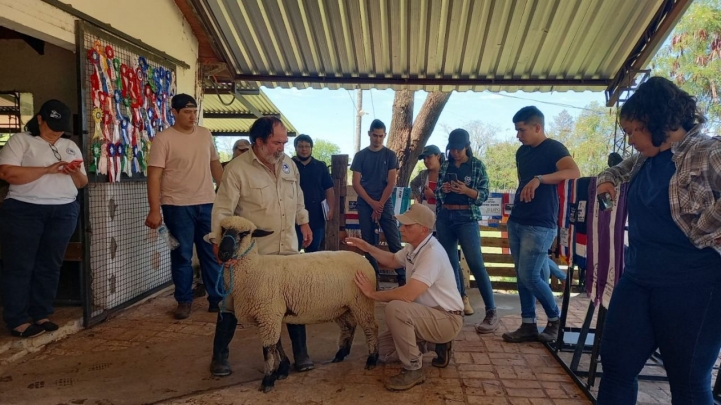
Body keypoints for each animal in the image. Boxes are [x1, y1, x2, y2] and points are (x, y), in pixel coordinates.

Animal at [217, 218, 380, 392]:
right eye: (223, 229)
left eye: (244, 233)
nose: (223, 254)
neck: (255, 268)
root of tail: (363, 258)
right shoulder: (271, 316)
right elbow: (277, 344)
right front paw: (282, 369)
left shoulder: (268, 314)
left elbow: (268, 349)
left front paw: (268, 380)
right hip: (341, 307)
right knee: (349, 326)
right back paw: (341, 354)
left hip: (362, 301)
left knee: (371, 327)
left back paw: (372, 358)